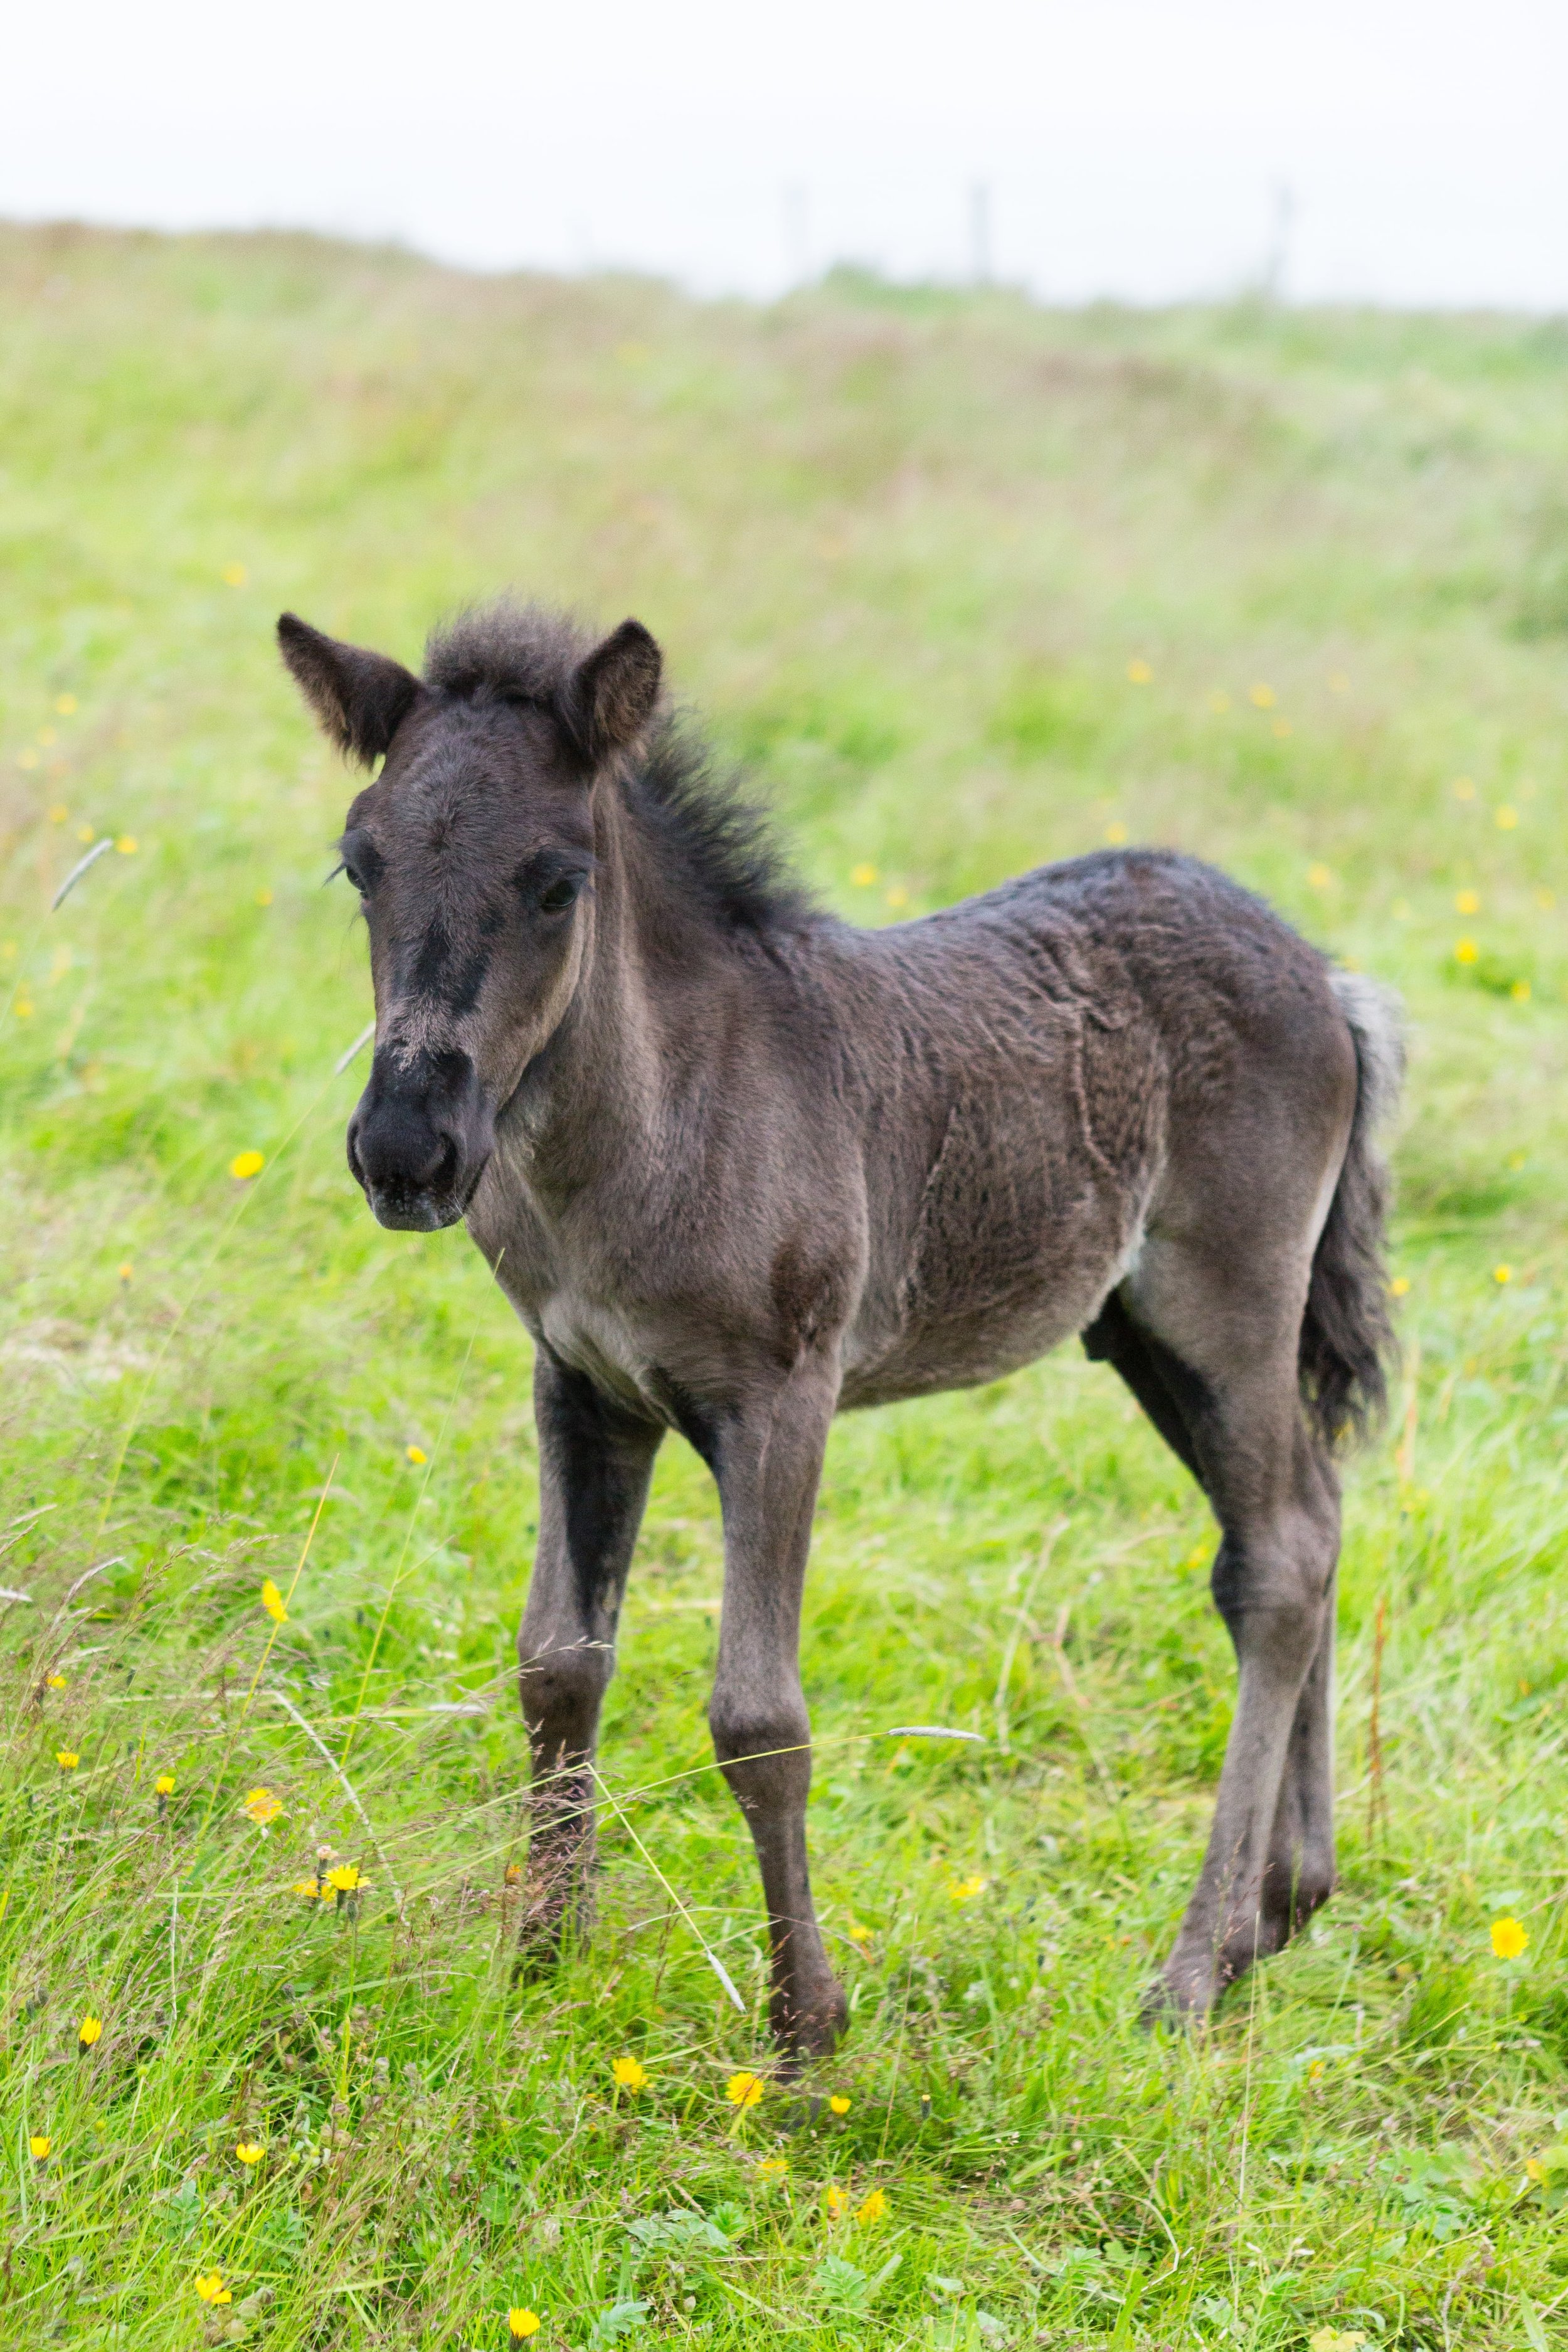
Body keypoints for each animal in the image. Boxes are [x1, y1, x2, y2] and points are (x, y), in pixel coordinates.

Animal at [278, 602, 1401, 2060]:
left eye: (557, 882)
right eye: (360, 864)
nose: (407, 1150)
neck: (660, 1124)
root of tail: (1324, 974)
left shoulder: (779, 1398)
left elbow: (757, 1716)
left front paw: (805, 2025)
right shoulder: (581, 1389)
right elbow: (556, 1668)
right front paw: (540, 1959)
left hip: (1232, 1302)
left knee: (1275, 1562)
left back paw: (1192, 1971)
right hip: (1144, 1335)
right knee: (1306, 1520)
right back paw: (1285, 1906)